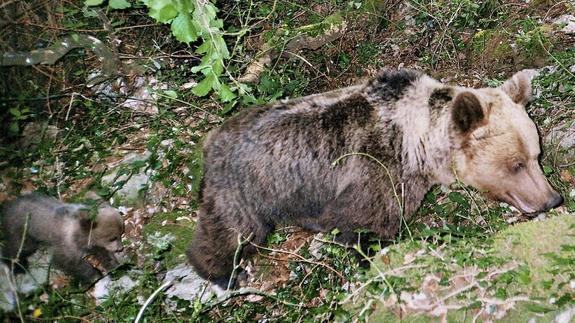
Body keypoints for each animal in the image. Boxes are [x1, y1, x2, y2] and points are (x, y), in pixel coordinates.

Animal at [188, 69, 564, 288]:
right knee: (232, 231)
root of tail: (210, 141)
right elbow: (365, 227)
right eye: (515, 164)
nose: (552, 198)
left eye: (537, 155)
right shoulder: (376, 172)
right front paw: (379, 255)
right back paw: (225, 273)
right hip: (246, 188)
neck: (418, 143)